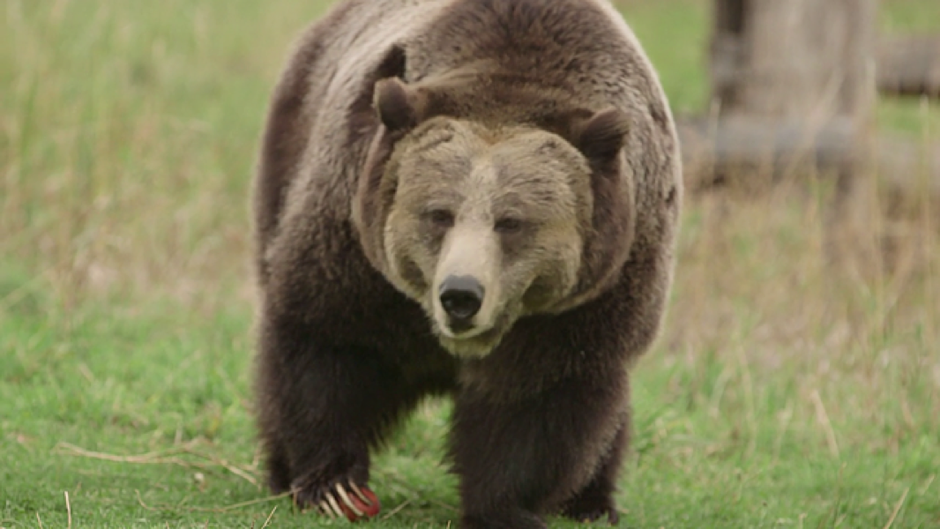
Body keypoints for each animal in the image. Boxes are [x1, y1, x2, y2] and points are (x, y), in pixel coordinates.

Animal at [253, 0, 680, 524]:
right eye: (440, 213)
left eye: (511, 222)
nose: (460, 295)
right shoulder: (356, 250)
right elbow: (328, 340)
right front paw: (333, 484)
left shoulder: (584, 304)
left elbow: (534, 403)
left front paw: (504, 508)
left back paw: (592, 501)